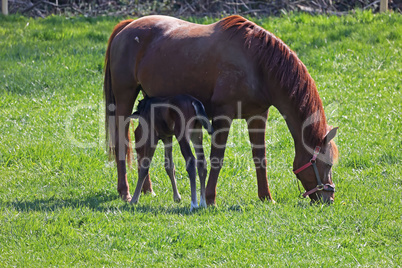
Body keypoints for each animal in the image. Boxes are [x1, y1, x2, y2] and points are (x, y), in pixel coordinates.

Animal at [103, 14, 340, 205]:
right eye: (326, 164)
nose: (328, 198)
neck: (257, 63)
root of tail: (128, 25)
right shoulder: (223, 116)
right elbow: (217, 158)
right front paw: (209, 198)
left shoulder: (257, 116)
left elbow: (260, 157)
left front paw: (266, 197)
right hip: (125, 99)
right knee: (122, 141)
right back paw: (125, 192)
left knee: (141, 140)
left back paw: (147, 189)